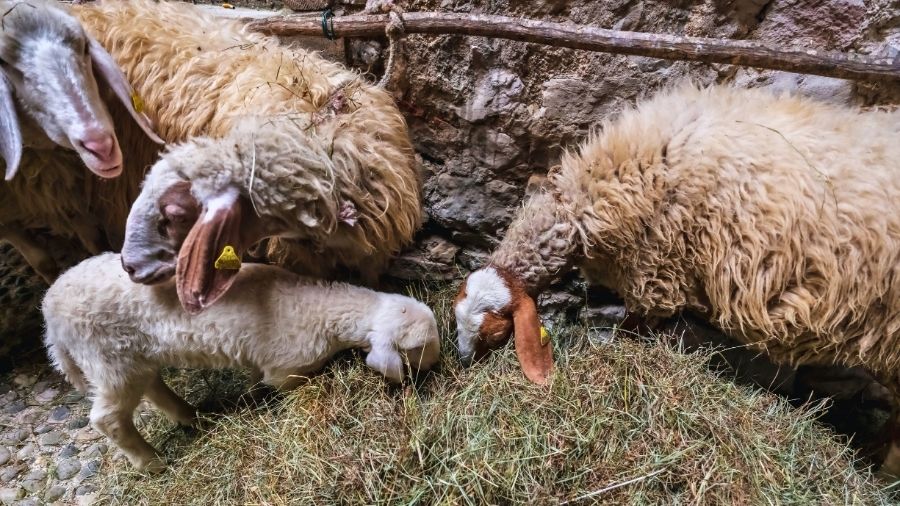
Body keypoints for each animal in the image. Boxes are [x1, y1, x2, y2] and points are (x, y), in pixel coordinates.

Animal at [0, 0, 162, 282]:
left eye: (85, 47)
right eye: (5, 63)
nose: (101, 147)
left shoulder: (68, 195)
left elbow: (95, 245)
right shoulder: (8, 218)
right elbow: (44, 263)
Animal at [43, 252, 440, 472]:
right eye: (419, 347)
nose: (436, 365)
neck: (320, 309)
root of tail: (49, 309)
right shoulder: (286, 368)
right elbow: (283, 384)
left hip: (135, 355)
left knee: (153, 386)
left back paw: (191, 416)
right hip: (108, 357)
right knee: (107, 418)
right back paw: (151, 463)